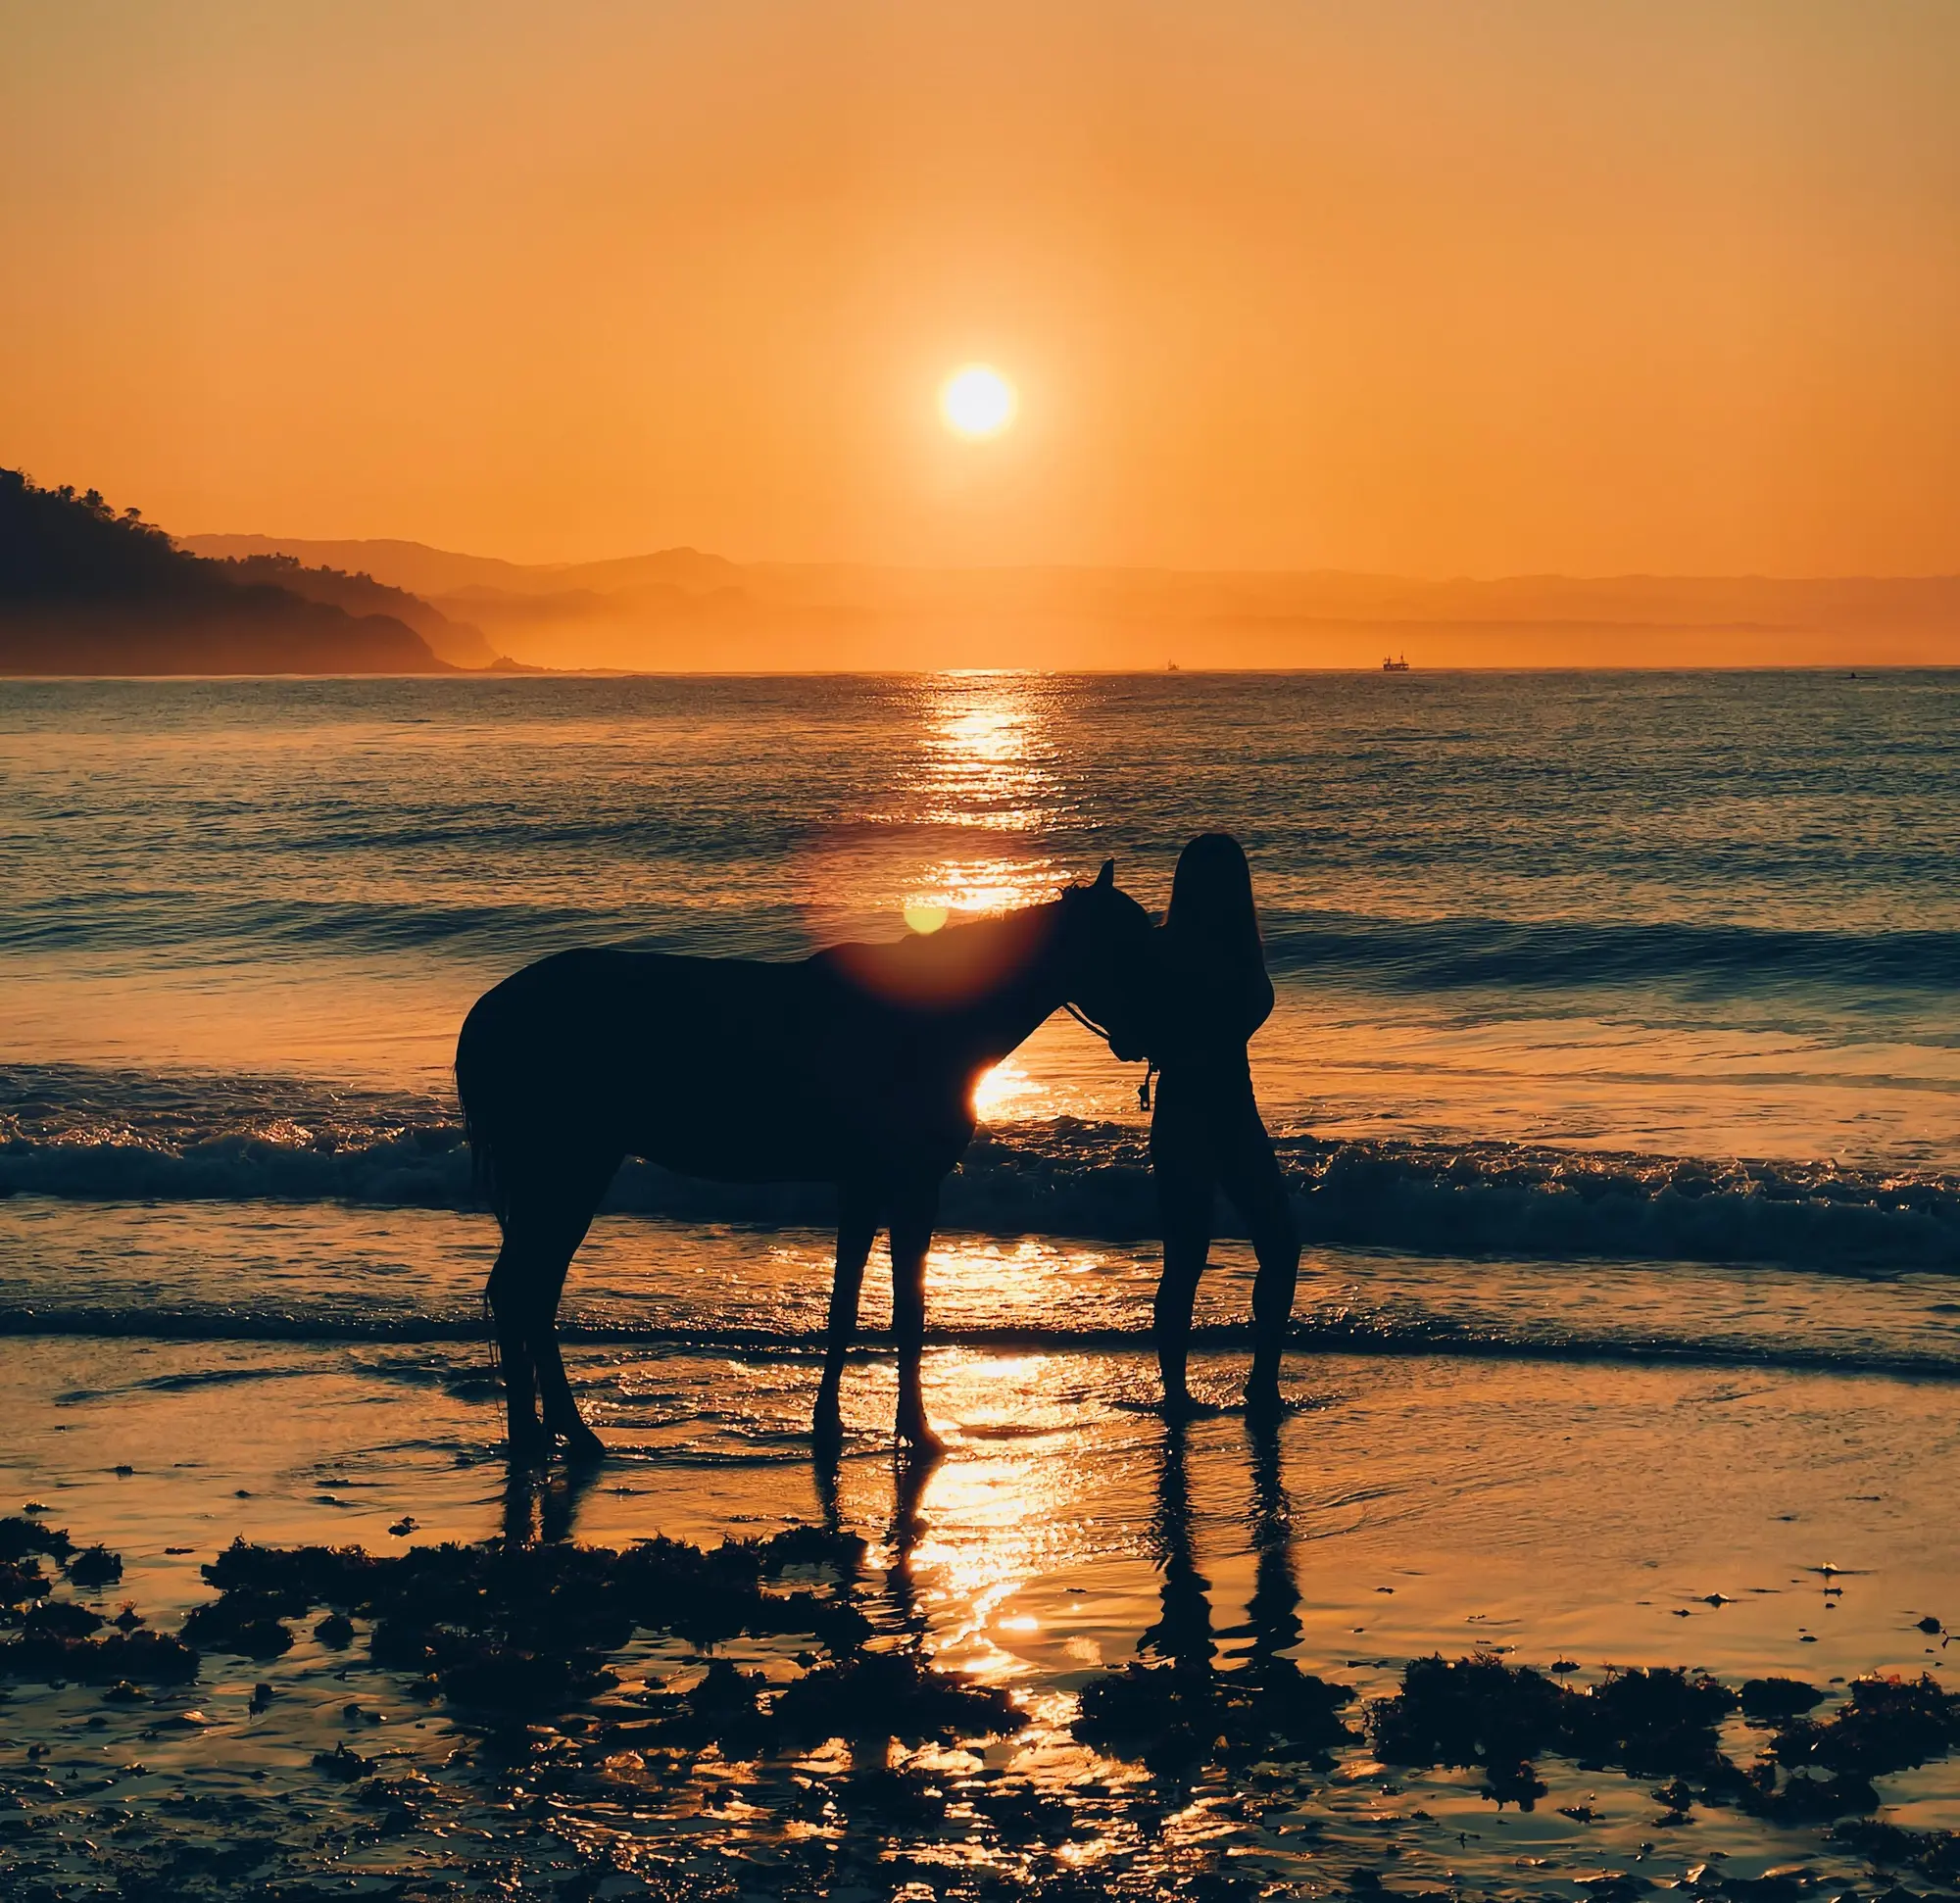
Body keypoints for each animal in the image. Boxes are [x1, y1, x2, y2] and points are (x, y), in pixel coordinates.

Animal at [455, 861, 1152, 1462]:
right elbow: (903, 1311)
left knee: (528, 1294)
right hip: (567, 1171)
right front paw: (913, 1430)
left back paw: (550, 1434)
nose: (1146, 1038)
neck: (933, 1021)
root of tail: (489, 1012)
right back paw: (556, 1436)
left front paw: (835, 1422)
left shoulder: (866, 1187)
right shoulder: (908, 1186)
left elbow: (849, 1305)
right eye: (1125, 946)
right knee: (524, 1293)